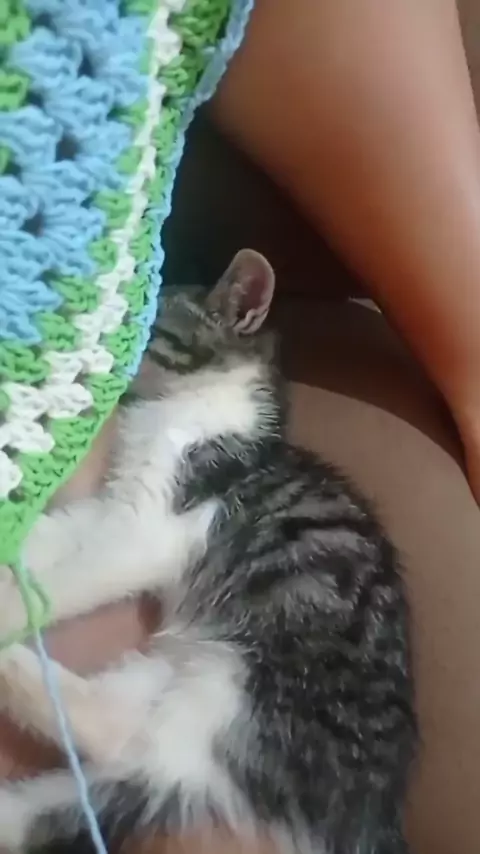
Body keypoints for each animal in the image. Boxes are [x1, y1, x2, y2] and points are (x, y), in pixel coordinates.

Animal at [0, 249, 416, 854]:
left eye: (153, 327)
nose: (116, 355)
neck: (180, 407)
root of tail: (376, 810)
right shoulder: (112, 508)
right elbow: (56, 536)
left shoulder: (148, 528)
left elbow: (69, 580)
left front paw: (8, 602)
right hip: (163, 670)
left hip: (243, 681)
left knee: (121, 737)